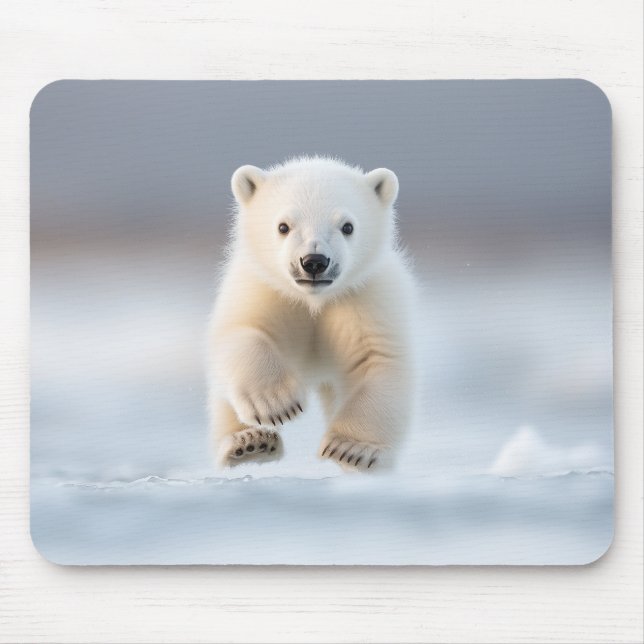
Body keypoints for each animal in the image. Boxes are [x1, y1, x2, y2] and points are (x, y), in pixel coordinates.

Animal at [207, 156, 417, 471]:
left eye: (347, 226)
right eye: (283, 226)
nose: (314, 261)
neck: (314, 301)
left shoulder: (365, 297)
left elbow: (380, 360)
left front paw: (351, 449)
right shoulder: (265, 289)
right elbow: (242, 331)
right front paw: (277, 403)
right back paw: (249, 442)